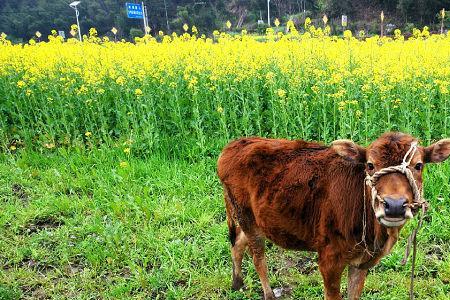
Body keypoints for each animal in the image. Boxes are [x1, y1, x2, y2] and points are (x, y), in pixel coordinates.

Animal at [216, 133, 448, 300]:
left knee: (237, 242)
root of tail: (237, 144)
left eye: (418, 165)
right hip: (246, 216)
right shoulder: (329, 259)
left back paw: (237, 283)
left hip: (252, 218)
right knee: (257, 256)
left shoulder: (361, 262)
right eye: (370, 165)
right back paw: (269, 294)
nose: (395, 205)